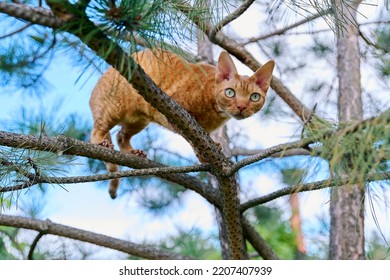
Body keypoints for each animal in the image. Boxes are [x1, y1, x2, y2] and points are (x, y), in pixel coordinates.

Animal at [90, 48, 276, 198]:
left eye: (254, 97)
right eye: (230, 92)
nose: (241, 107)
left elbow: (203, 138)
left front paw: (211, 147)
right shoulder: (178, 115)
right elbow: (194, 139)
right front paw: (203, 156)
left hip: (139, 119)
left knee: (121, 135)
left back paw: (132, 152)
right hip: (113, 108)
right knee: (97, 130)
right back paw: (102, 143)